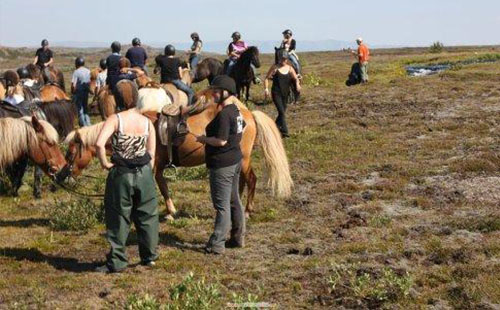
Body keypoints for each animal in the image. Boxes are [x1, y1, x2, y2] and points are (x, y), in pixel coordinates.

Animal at [65, 89, 294, 220]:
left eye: (71, 153)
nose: (63, 177)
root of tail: (249, 114)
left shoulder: (152, 167)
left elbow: (158, 188)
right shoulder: (158, 168)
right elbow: (163, 187)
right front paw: (170, 212)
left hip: (245, 158)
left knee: (251, 179)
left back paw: (247, 210)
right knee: (241, 181)